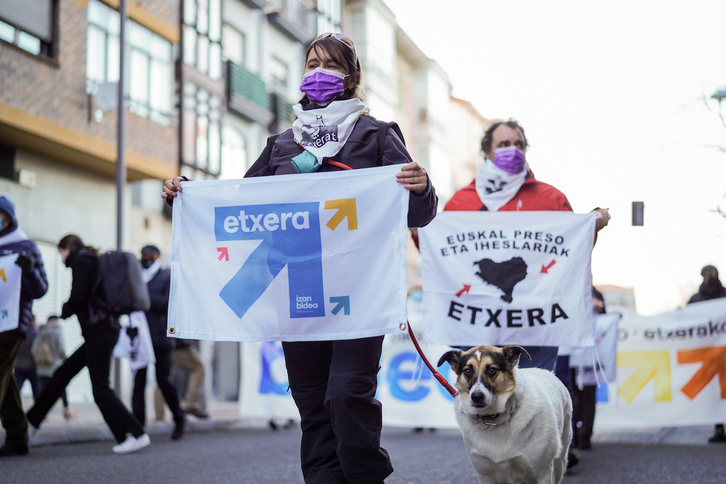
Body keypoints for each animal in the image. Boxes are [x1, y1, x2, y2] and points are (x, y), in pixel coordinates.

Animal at [438, 344, 576, 484]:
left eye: (492, 370)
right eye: (467, 371)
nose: (476, 396)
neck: (493, 420)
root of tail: (548, 372)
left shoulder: (542, 473)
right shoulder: (486, 475)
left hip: (560, 459)